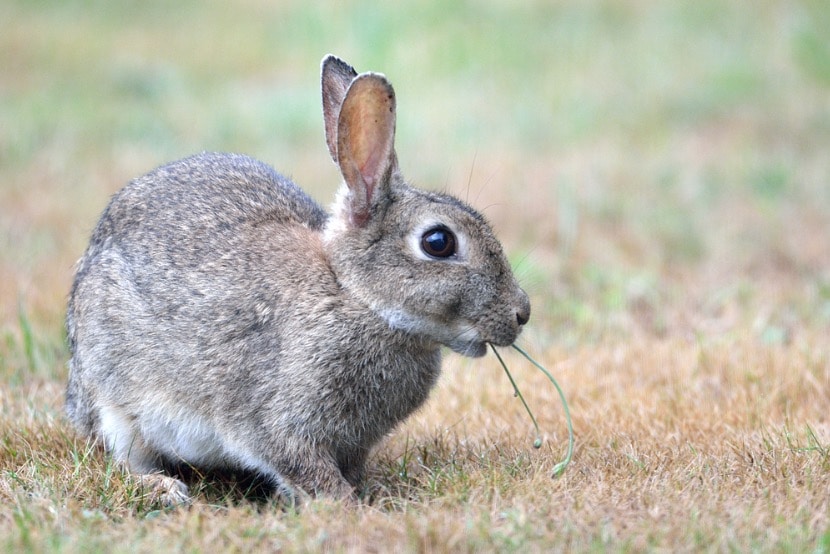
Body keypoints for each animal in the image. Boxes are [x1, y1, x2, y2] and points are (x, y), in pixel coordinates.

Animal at [65, 55, 531, 506]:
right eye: (438, 242)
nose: (522, 312)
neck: (355, 297)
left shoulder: (352, 442)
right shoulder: (277, 420)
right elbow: (303, 467)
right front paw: (347, 507)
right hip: (113, 399)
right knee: (122, 457)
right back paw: (162, 489)